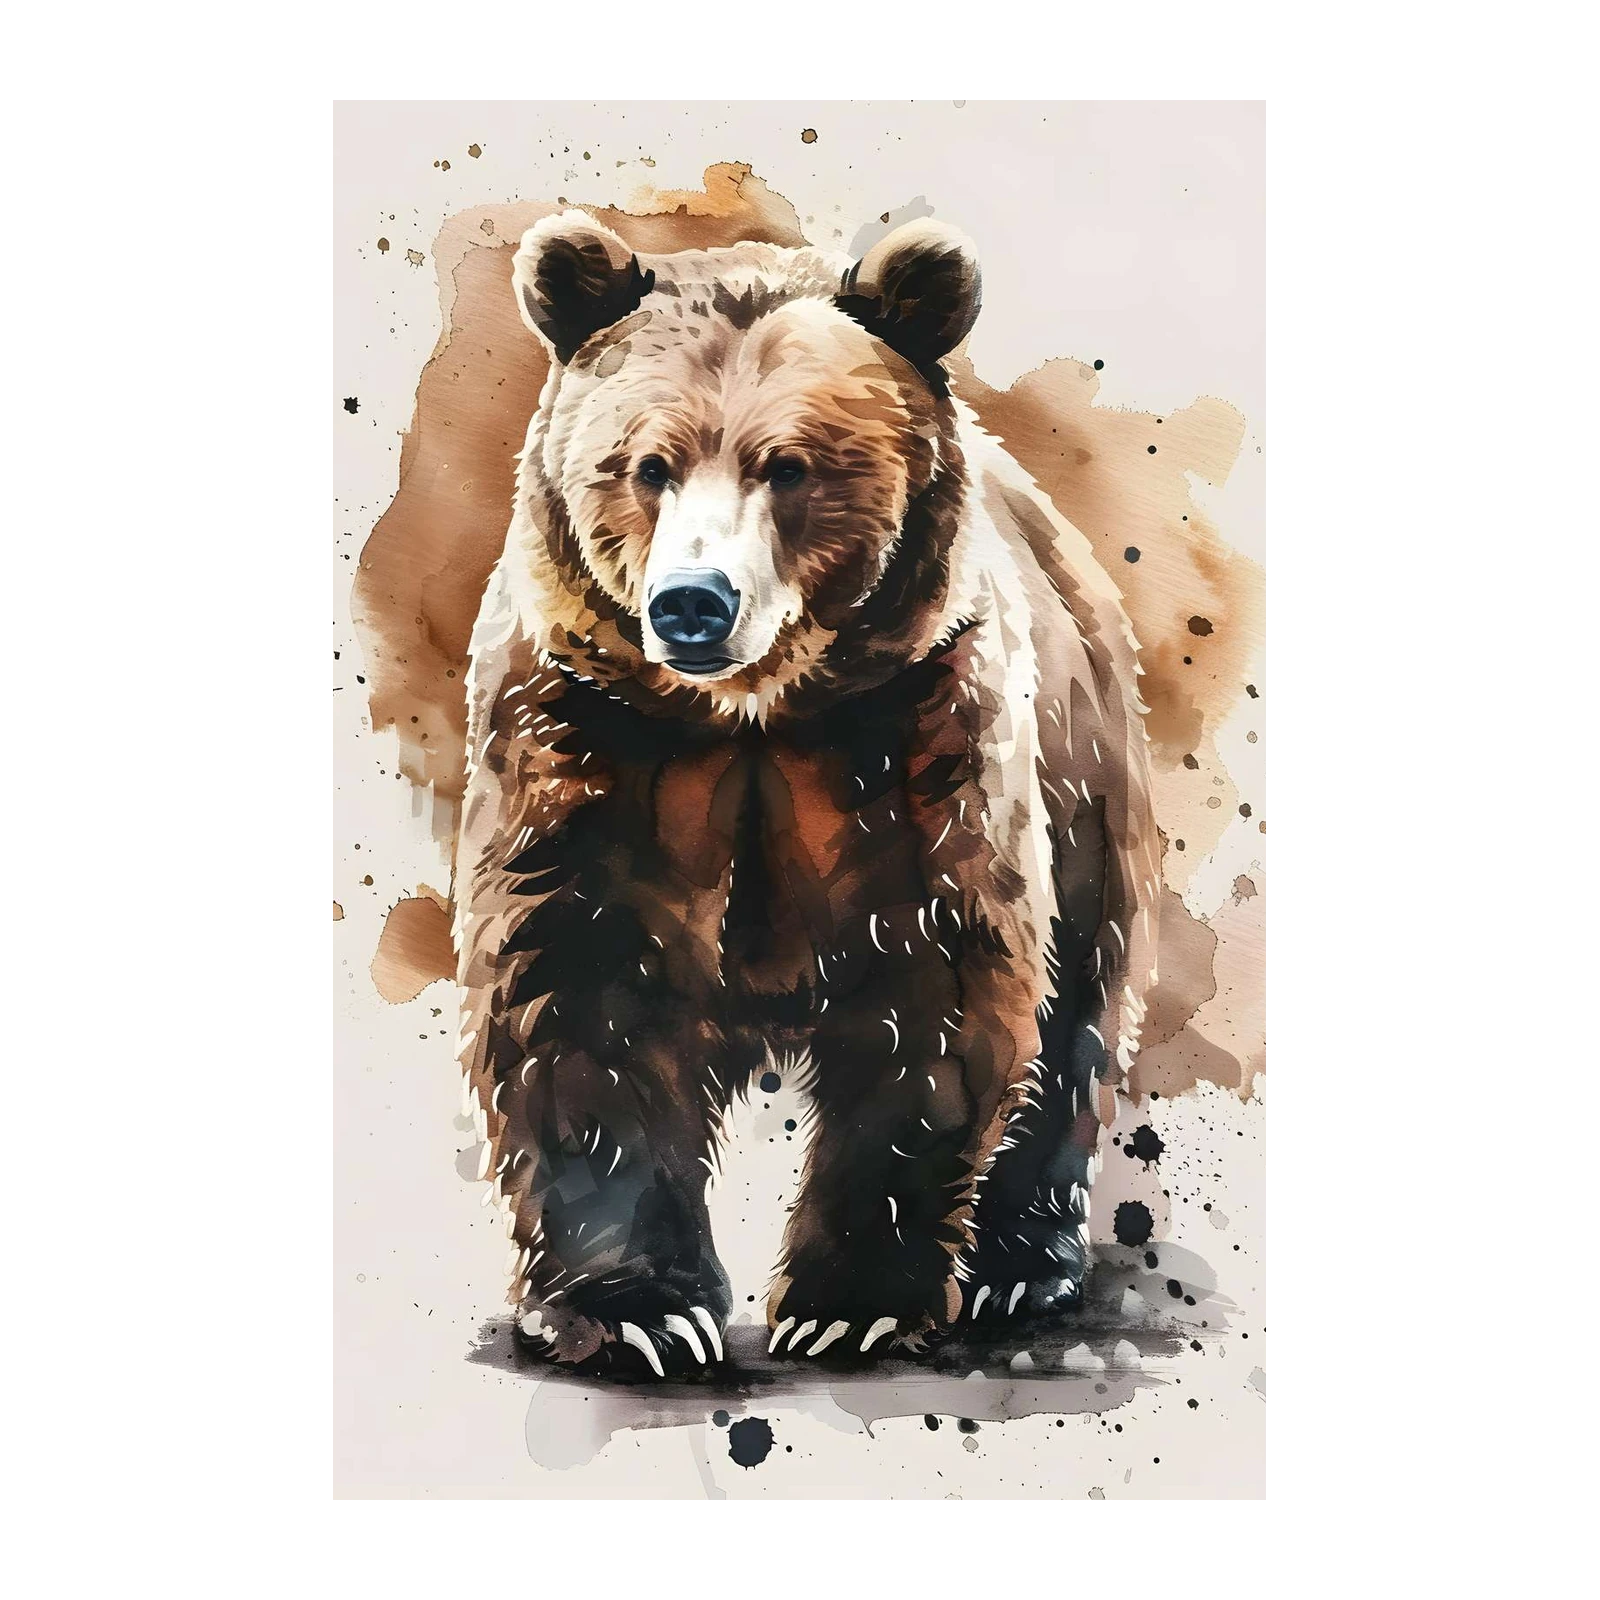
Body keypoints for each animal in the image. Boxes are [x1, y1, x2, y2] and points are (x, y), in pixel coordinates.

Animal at [452, 210, 1160, 1376]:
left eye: (787, 466)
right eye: (646, 464)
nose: (693, 603)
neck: (751, 718)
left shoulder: (915, 738)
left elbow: (936, 993)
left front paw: (846, 1302)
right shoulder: (586, 733)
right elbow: (573, 986)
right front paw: (636, 1312)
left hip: (1085, 769)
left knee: (1077, 1019)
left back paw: (1021, 1268)